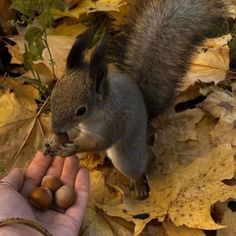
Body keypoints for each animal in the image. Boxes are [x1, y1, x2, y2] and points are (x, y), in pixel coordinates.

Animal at [45, 0, 226, 199]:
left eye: (81, 110)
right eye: (53, 95)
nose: (55, 128)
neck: (94, 115)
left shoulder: (112, 123)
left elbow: (98, 142)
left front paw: (72, 148)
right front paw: (54, 140)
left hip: (128, 156)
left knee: (139, 166)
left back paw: (138, 184)